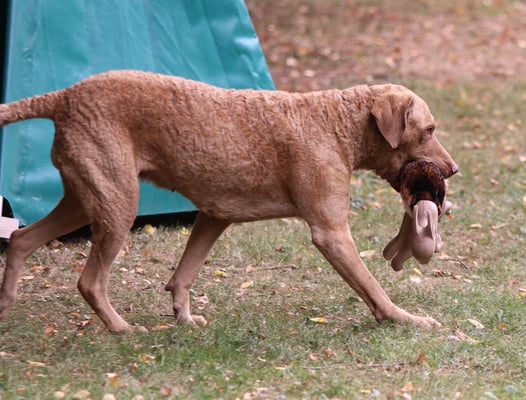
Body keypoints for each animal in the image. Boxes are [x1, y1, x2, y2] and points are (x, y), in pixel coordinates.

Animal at [0, 70, 458, 332]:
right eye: (429, 129)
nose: (453, 170)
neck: (337, 125)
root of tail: (63, 95)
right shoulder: (331, 232)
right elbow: (374, 288)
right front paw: (405, 319)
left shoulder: (213, 216)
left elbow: (182, 276)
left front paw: (185, 319)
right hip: (117, 206)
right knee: (90, 281)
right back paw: (121, 329)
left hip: (84, 198)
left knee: (21, 239)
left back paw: (5, 304)